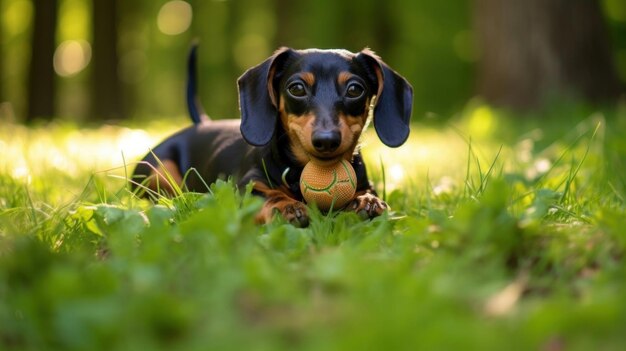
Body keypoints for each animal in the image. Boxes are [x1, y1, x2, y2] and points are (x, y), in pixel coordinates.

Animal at [133, 45, 410, 228]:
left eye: (354, 89)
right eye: (296, 88)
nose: (326, 140)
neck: (300, 171)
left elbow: (367, 194)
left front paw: (367, 201)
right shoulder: (244, 186)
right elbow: (267, 194)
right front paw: (286, 206)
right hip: (156, 174)